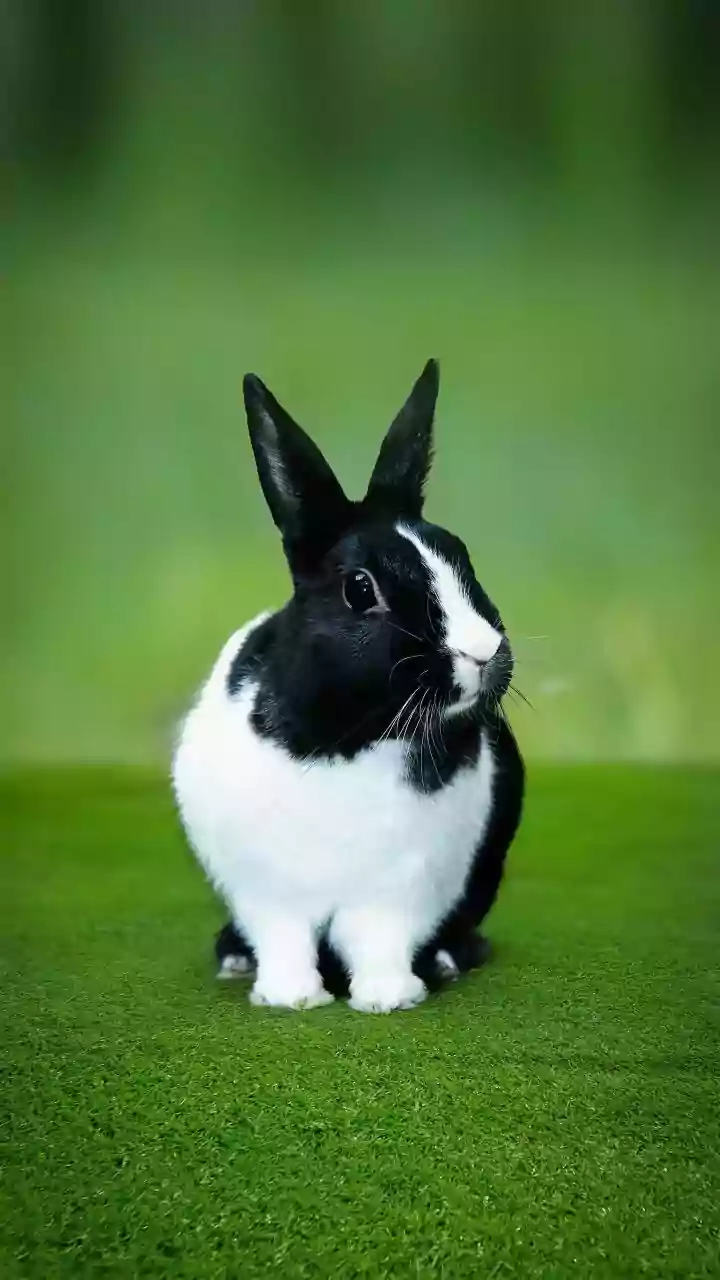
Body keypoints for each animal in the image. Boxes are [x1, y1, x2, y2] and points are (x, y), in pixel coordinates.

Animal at [172, 359, 525, 1013]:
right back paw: (234, 958)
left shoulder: (401, 890)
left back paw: (447, 960)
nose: (483, 652)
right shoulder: (270, 892)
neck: (351, 736)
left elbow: (380, 941)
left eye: (462, 557)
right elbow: (284, 940)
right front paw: (291, 998)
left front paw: (388, 998)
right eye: (361, 589)